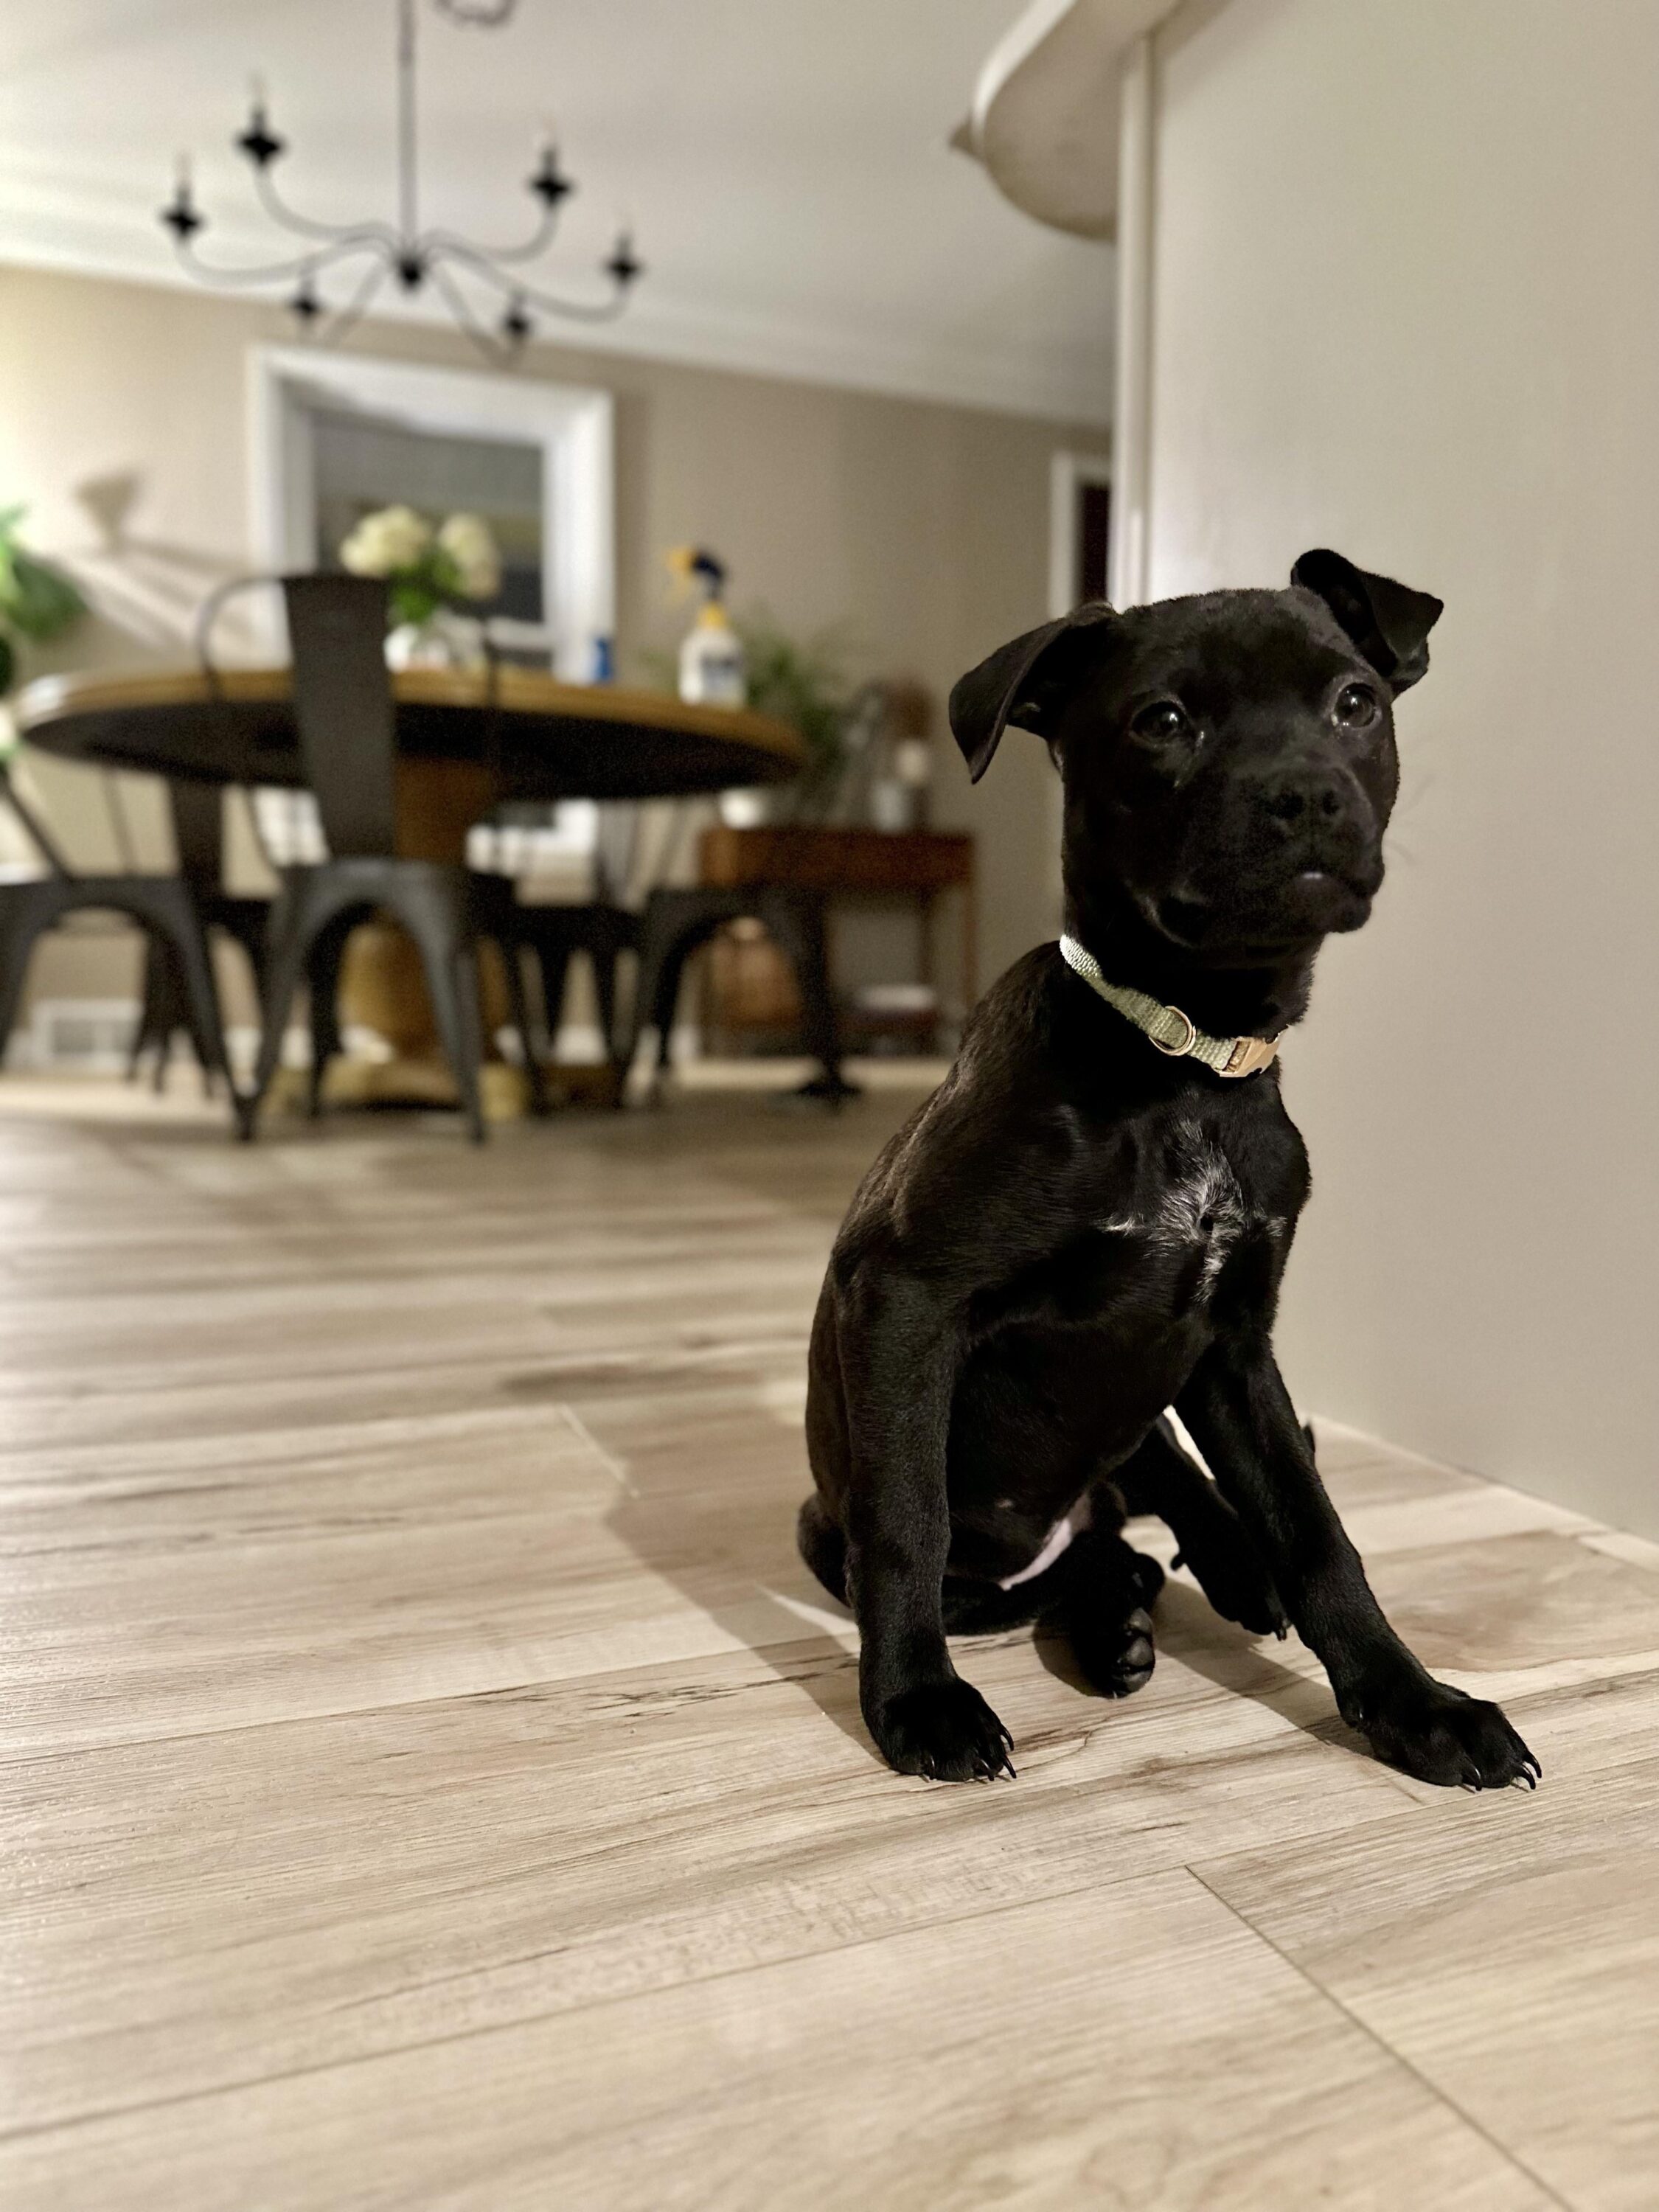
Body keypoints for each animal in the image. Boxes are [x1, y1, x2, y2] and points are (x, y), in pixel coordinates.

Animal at [801, 553, 1540, 1796]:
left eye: (1354, 703)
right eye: (1163, 723)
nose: (1303, 798)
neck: (1181, 1062)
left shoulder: (1233, 1344)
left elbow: (1315, 1532)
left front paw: (1414, 1706)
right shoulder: (901, 1295)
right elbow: (907, 1522)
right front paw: (915, 1703)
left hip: (1154, 1406)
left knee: (1148, 1519)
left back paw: (1208, 1581)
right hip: (858, 1517)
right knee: (1057, 1562)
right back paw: (1113, 1631)